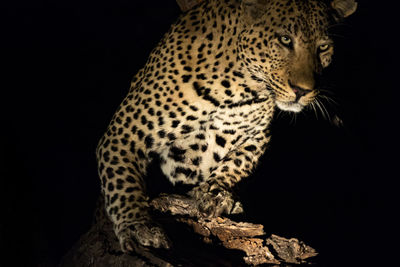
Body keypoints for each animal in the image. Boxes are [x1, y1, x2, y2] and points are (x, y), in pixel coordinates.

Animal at [96, 0, 356, 253]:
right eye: (284, 39)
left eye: (323, 47)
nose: (302, 91)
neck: (240, 87)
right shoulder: (126, 133)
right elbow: (123, 183)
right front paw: (138, 227)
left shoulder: (257, 137)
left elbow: (239, 163)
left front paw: (215, 193)